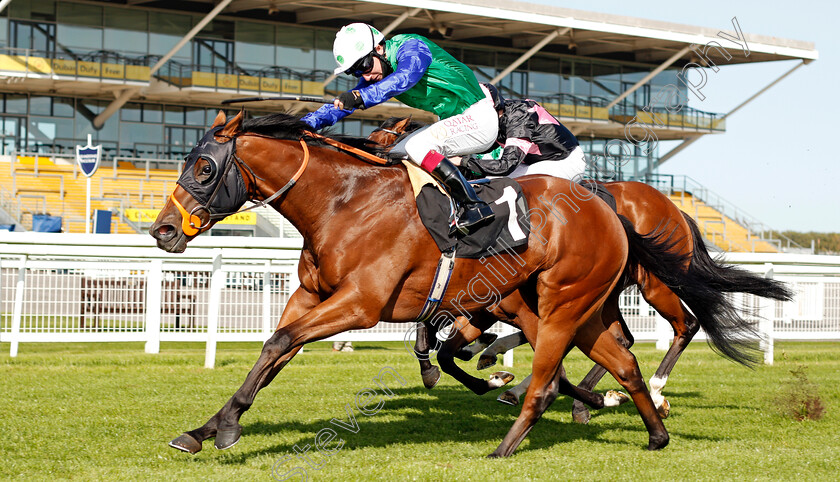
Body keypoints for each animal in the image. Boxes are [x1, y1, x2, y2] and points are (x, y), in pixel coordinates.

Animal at [146, 111, 708, 458]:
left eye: (204, 167)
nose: (162, 230)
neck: (344, 203)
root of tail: (612, 213)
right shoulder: (312, 296)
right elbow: (274, 353)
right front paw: (204, 430)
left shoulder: (360, 304)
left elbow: (280, 342)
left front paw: (226, 427)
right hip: (578, 306)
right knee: (623, 360)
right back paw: (643, 425)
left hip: (571, 302)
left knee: (654, 336)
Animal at [370, 116, 796, 422]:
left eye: (381, 140)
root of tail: (676, 209)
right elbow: (437, 332)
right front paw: (472, 359)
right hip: (608, 292)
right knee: (622, 338)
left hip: (654, 284)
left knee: (684, 325)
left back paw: (653, 392)